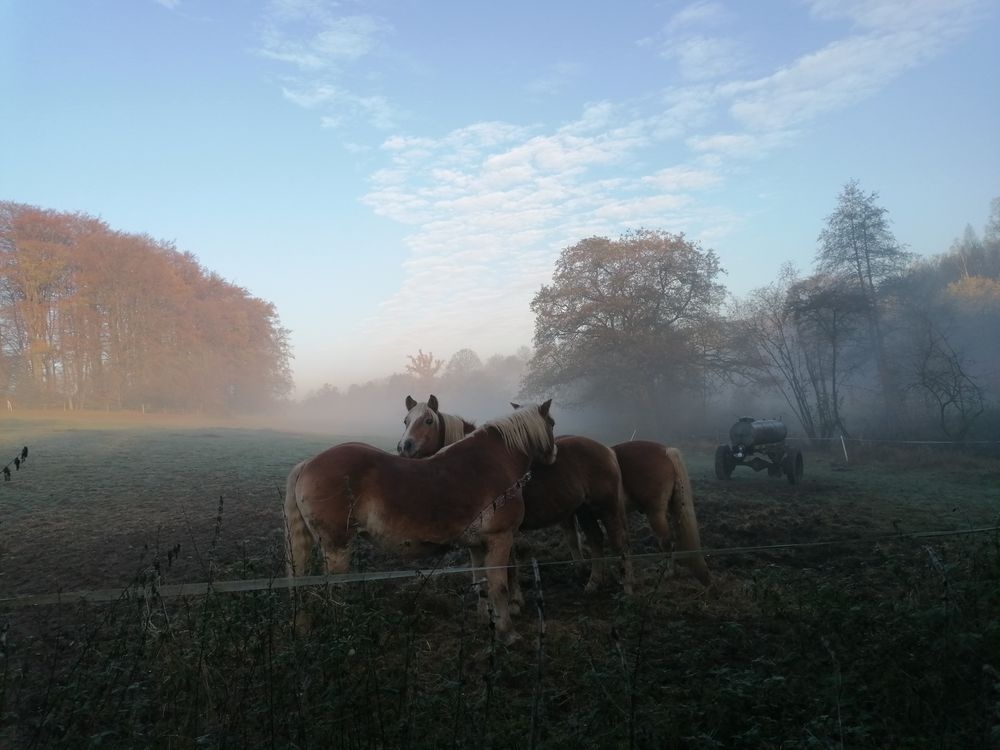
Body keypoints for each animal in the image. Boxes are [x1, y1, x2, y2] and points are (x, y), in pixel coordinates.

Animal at [286, 402, 560, 644]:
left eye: (428, 421)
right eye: (553, 423)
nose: (554, 454)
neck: (494, 461)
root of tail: (307, 464)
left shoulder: (477, 544)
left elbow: (480, 582)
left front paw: (486, 619)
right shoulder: (500, 539)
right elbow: (499, 586)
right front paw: (507, 632)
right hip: (337, 548)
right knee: (336, 592)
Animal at [398, 396, 632, 596]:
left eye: (428, 420)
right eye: (406, 421)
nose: (404, 447)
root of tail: (607, 450)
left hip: (608, 507)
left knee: (619, 542)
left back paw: (627, 588)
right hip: (584, 510)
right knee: (595, 540)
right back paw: (593, 583)